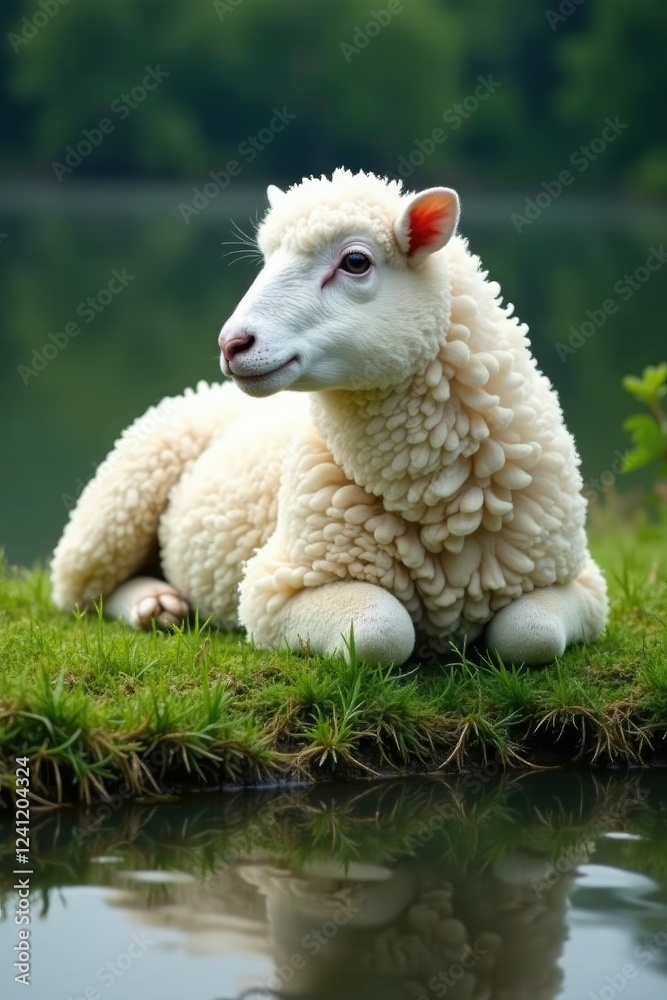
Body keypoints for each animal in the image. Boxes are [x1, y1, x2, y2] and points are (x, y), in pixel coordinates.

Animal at [51, 168, 609, 667]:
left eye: (355, 261)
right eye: (265, 258)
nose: (232, 344)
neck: (441, 504)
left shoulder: (581, 580)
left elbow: (531, 634)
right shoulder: (274, 585)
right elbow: (383, 630)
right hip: (112, 509)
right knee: (83, 592)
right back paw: (154, 605)